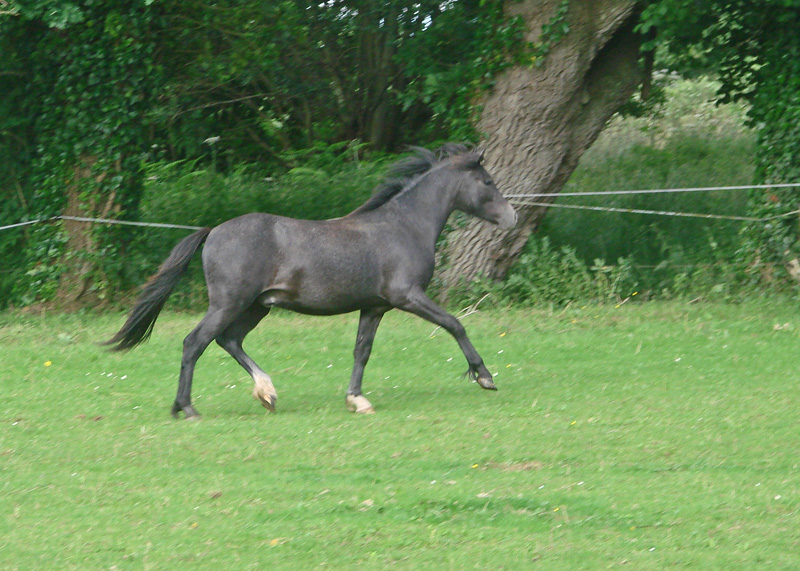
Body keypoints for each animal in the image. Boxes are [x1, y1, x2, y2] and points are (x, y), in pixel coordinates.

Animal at [106, 144, 520, 420]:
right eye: (487, 181)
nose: (512, 217)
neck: (404, 226)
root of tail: (212, 231)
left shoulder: (374, 307)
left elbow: (361, 351)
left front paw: (357, 399)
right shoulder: (407, 296)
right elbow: (455, 324)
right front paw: (485, 377)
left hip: (256, 307)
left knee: (229, 340)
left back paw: (266, 393)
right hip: (229, 303)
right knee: (195, 343)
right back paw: (187, 407)